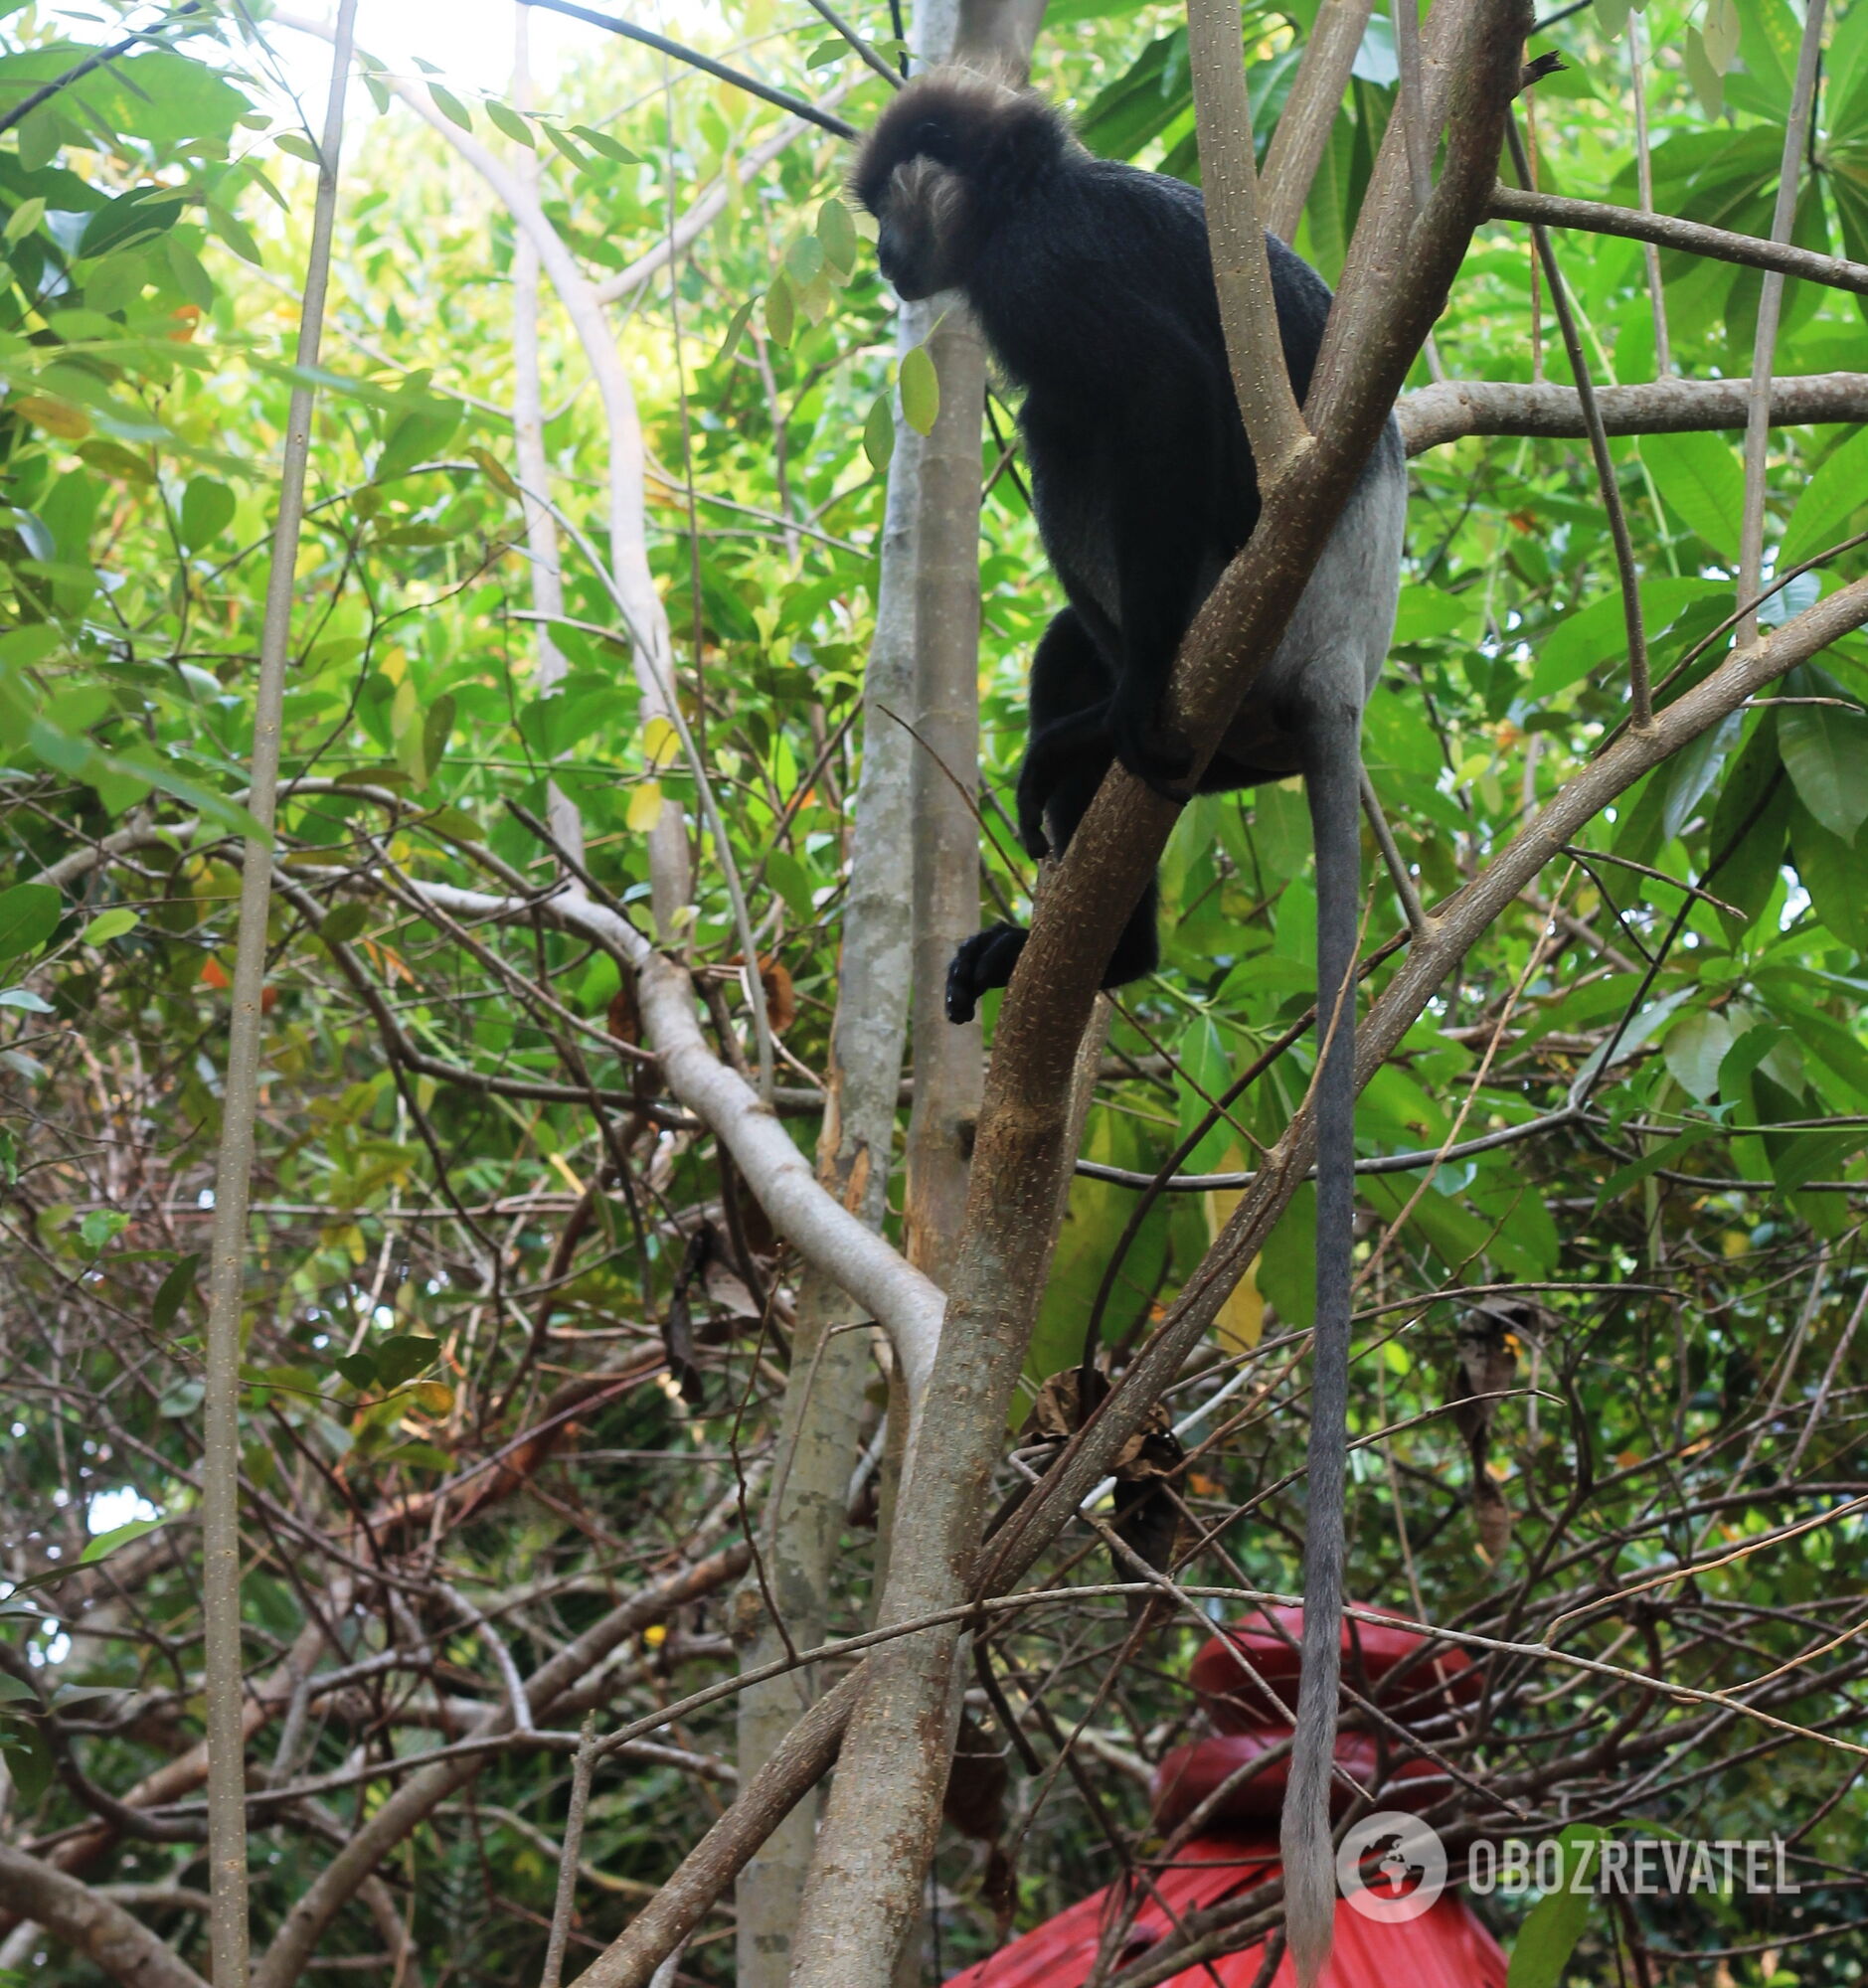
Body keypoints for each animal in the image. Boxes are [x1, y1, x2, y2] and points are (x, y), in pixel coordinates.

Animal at [854, 70, 1407, 1980]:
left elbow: (1151, 400)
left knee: (1096, 441)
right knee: (1055, 630)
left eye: (898, 206)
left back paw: (1118, 727)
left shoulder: (1051, 270)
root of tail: (1332, 677)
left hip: (1247, 641)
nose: (884, 263)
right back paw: (1095, 917)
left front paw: (1114, 707)